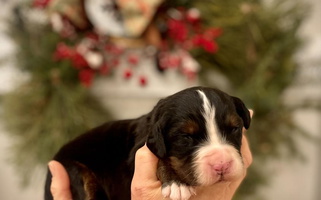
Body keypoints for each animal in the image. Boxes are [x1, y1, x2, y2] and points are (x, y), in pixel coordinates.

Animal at [43, 86, 251, 200]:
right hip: (72, 168)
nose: (221, 164)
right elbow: (161, 158)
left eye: (234, 128)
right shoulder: (135, 155)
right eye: (186, 137)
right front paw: (176, 184)